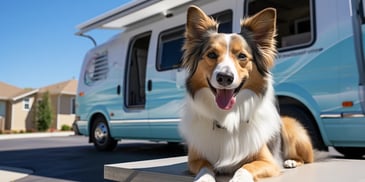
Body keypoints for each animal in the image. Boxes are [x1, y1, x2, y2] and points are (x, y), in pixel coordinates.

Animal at [179, 4, 312, 181]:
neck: (227, 117)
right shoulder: (195, 160)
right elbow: (205, 168)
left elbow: (245, 168)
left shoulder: (268, 161)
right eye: (211, 54)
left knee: (306, 158)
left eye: (242, 56)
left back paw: (291, 161)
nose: (225, 77)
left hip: (291, 128)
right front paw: (204, 178)